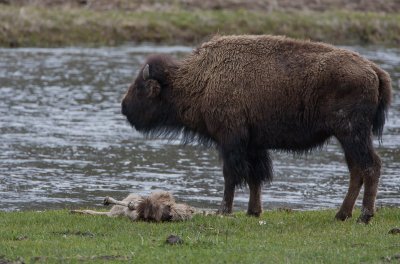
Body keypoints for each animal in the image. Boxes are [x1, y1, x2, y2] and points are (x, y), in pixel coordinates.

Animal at [121, 33, 390, 223]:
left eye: (140, 88)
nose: (124, 107)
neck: (200, 79)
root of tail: (374, 71)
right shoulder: (253, 144)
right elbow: (255, 177)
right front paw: (253, 211)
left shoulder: (230, 141)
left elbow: (231, 176)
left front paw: (223, 210)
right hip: (347, 138)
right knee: (356, 171)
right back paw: (342, 215)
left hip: (351, 133)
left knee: (370, 166)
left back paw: (364, 217)